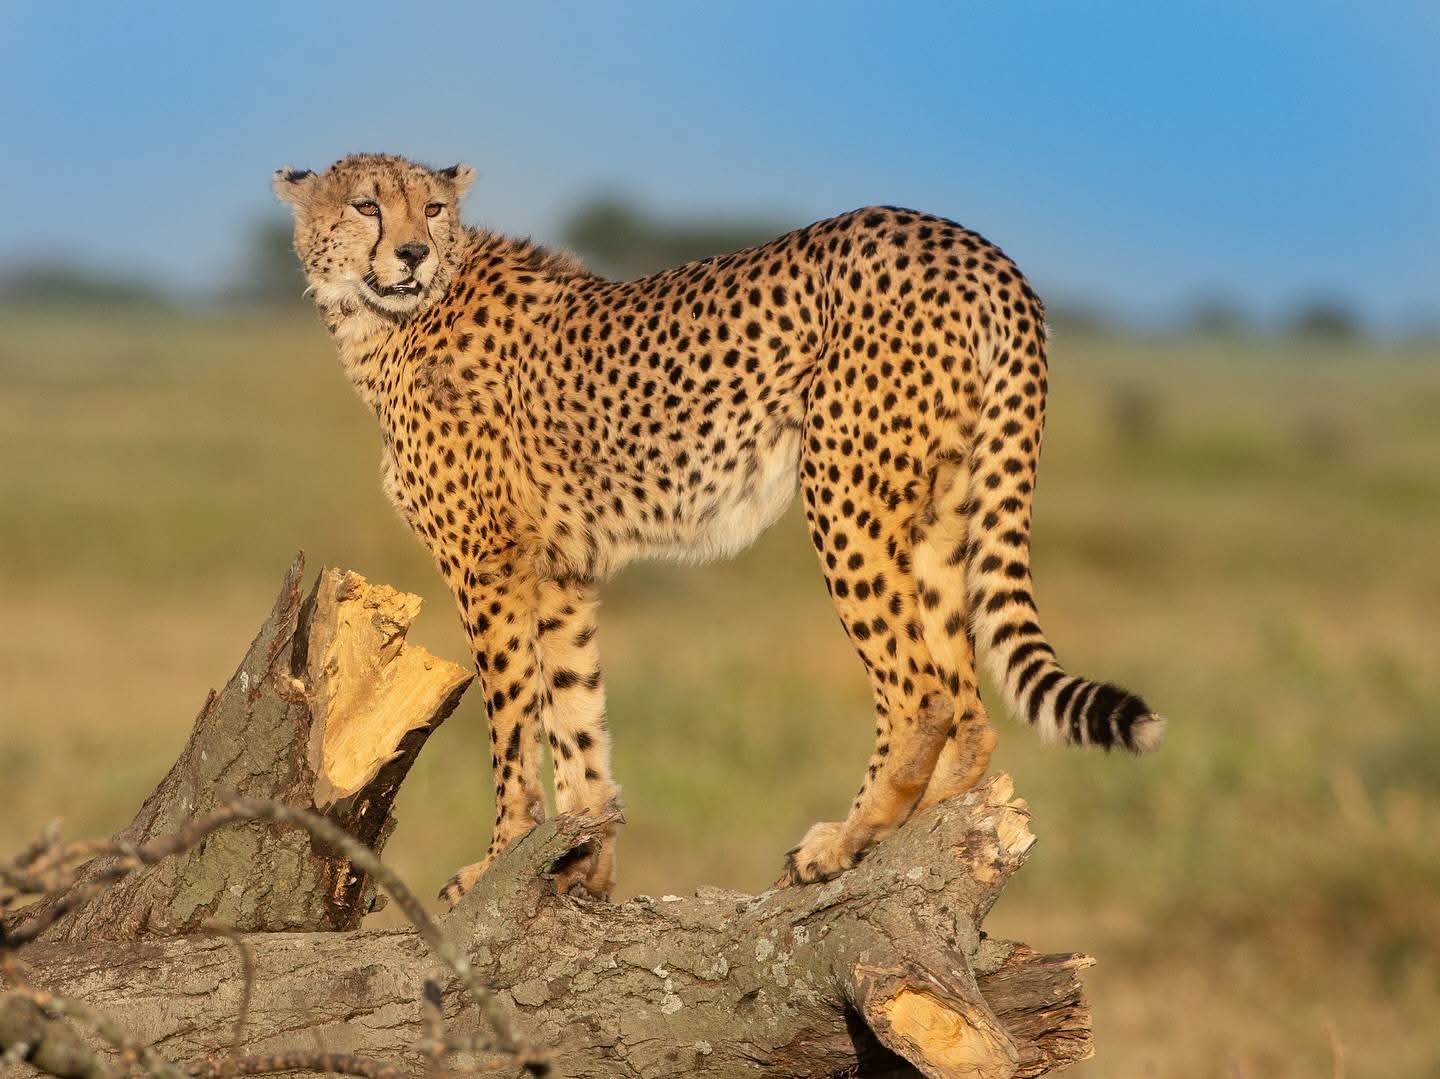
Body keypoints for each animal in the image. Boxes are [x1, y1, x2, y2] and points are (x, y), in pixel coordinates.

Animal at [274, 153, 1165, 905]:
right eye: (365, 205)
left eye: (431, 207)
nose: (413, 253)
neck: (388, 322)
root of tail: (969, 244)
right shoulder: (560, 572)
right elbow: (576, 718)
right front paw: (580, 862)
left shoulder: (488, 562)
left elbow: (513, 725)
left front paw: (499, 860)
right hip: (940, 508)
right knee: (970, 707)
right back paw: (912, 828)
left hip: (842, 487)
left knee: (923, 694)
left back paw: (844, 841)